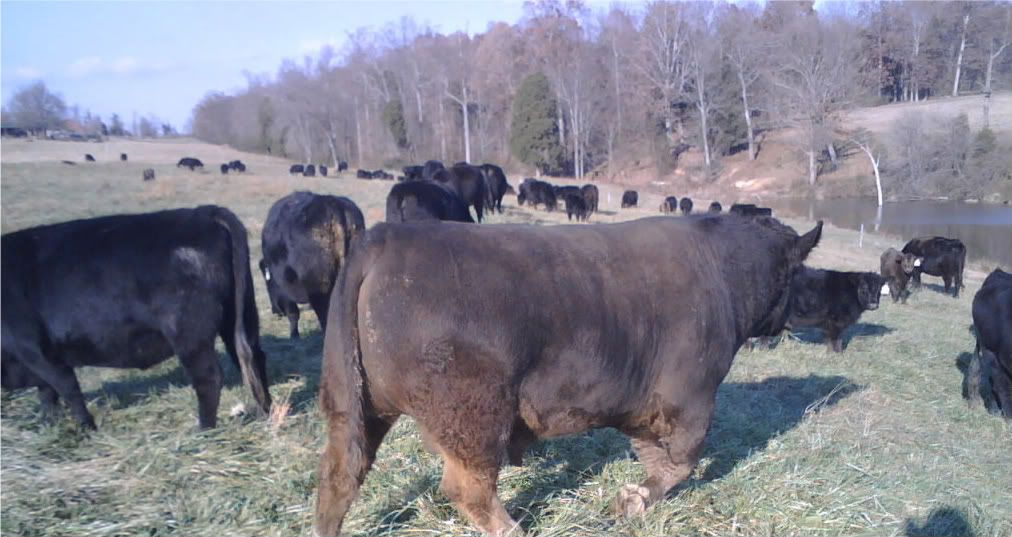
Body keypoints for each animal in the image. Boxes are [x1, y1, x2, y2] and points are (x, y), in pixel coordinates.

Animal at [0, 206, 272, 430]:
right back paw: (265, 411)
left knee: (209, 377)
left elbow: (67, 389)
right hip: (238, 316)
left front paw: (86, 429)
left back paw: (204, 430)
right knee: (252, 357)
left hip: (188, 333)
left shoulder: (36, 351)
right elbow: (47, 393)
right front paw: (49, 424)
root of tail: (203, 213)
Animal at [260, 192, 366, 335]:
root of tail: (332, 204)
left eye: (267, 283)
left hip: (319, 291)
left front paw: (294, 335)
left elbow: (293, 314)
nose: (275, 311)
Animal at [312, 215, 823, 537]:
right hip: (472, 413)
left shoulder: (644, 406)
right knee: (469, 488)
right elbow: (683, 462)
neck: (723, 272)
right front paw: (634, 500)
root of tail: (386, 238)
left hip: (353, 404)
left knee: (340, 475)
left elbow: (660, 459)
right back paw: (514, 530)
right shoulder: (690, 398)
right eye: (797, 273)